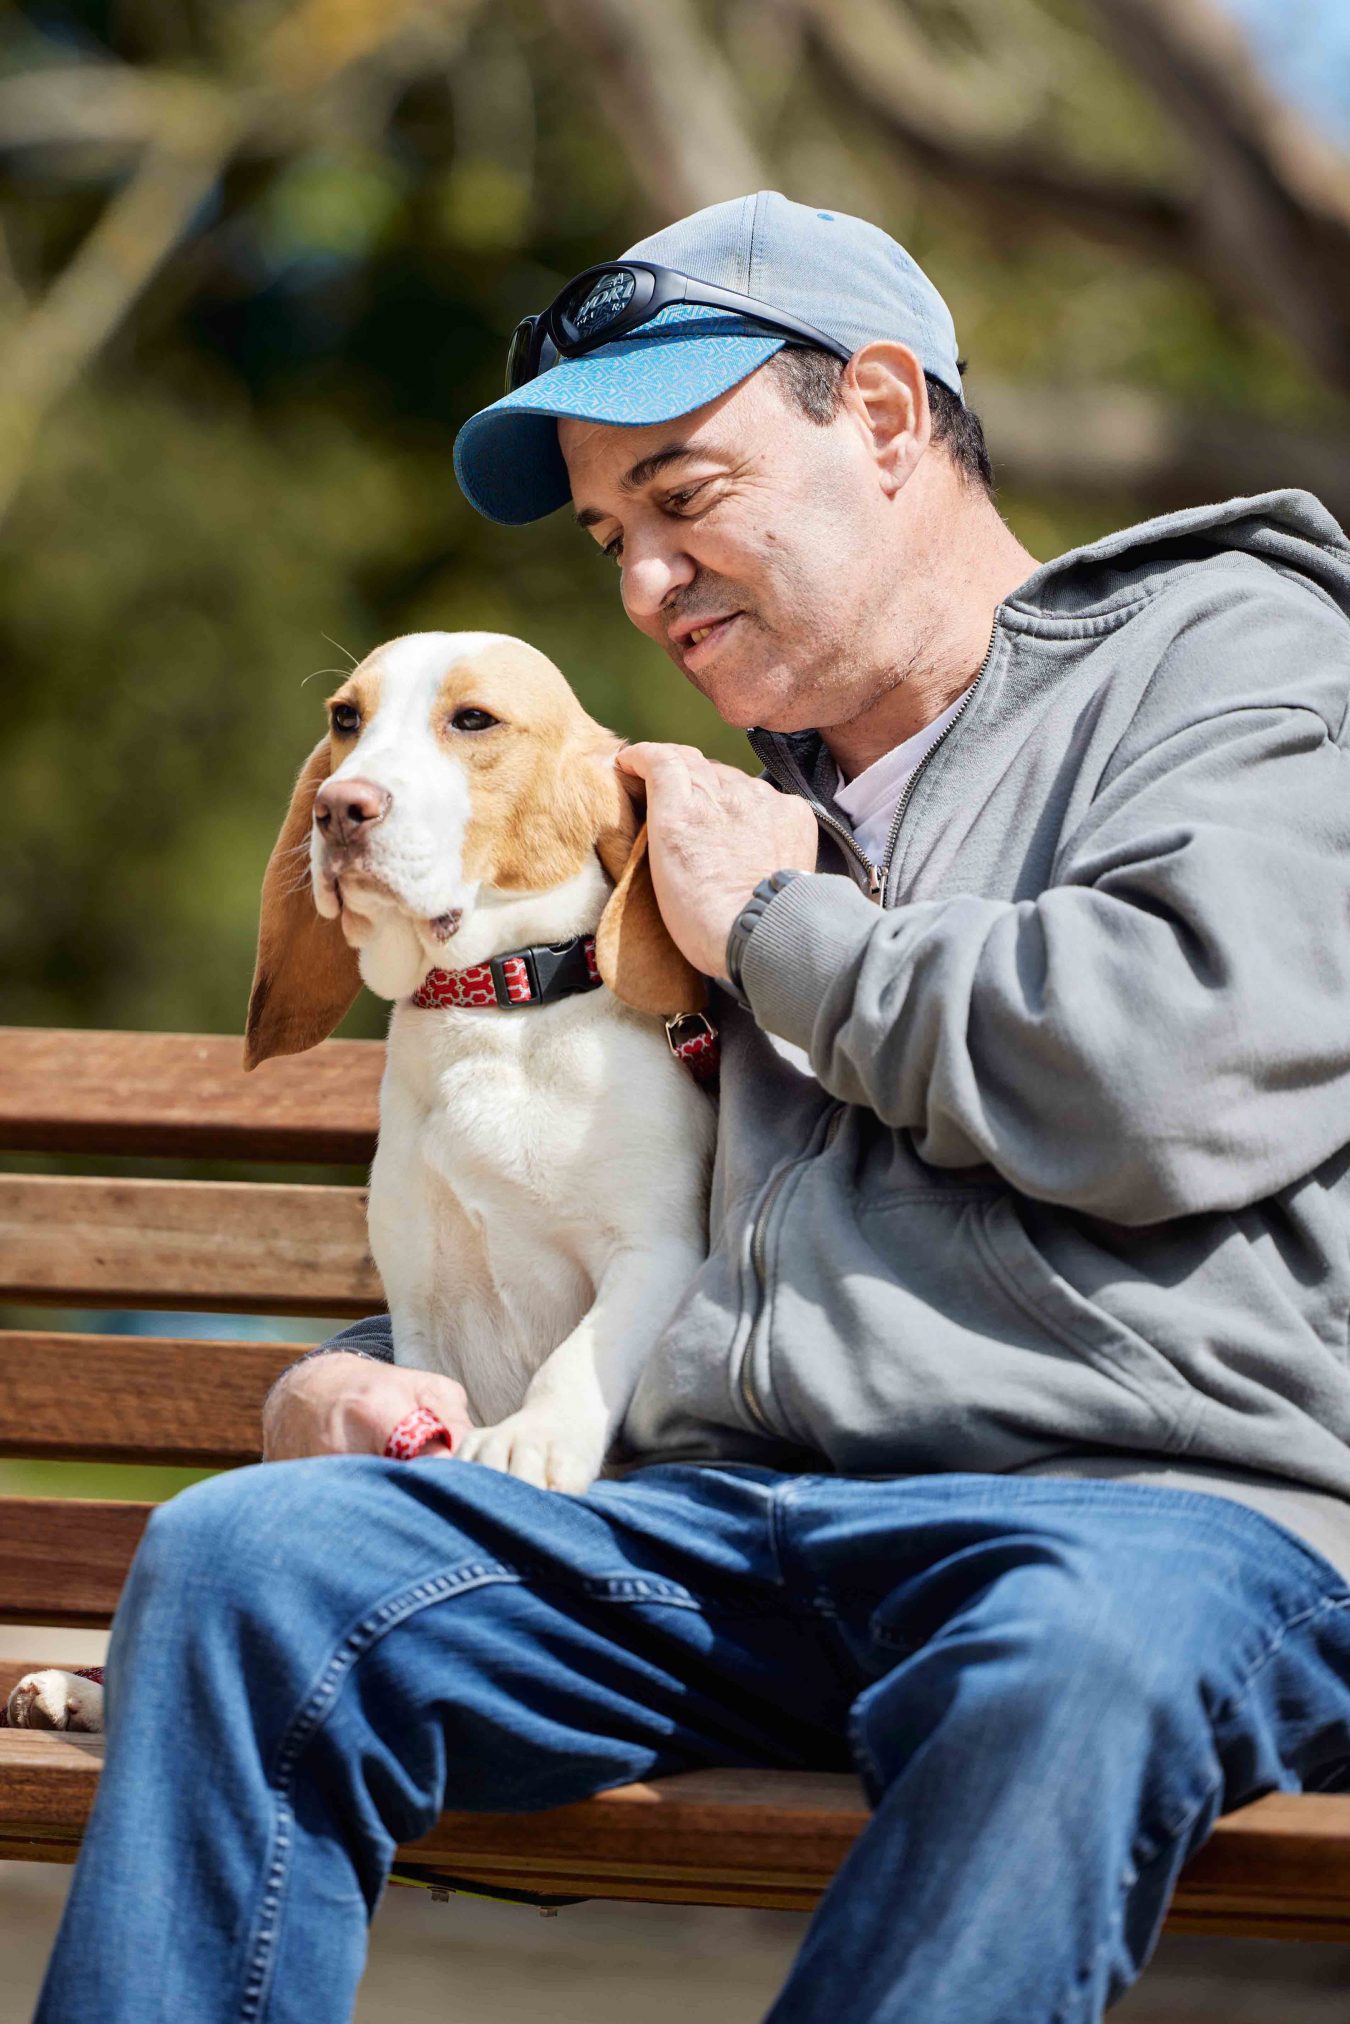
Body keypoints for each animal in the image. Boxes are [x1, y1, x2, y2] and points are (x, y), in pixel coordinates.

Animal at [5, 635, 716, 1740]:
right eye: (346, 718)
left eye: (473, 720)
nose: (342, 808)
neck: (493, 1015)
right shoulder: (424, 1305)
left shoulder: (658, 1252)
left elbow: (580, 1355)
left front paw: (534, 1442)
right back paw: (78, 1689)